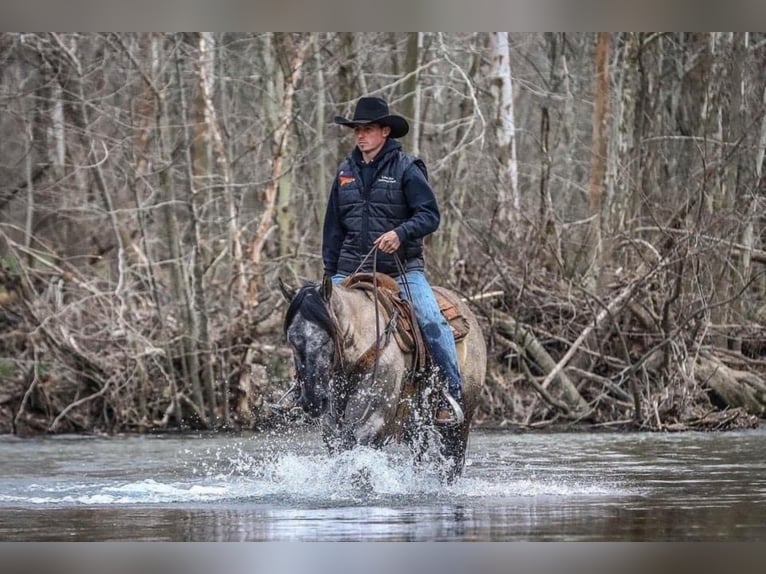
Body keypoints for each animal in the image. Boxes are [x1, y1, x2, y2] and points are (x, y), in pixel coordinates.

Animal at [280, 274, 488, 482]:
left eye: (326, 339)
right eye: (291, 341)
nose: (312, 400)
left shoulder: (372, 424)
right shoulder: (332, 430)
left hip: (459, 425)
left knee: (452, 463)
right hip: (415, 425)